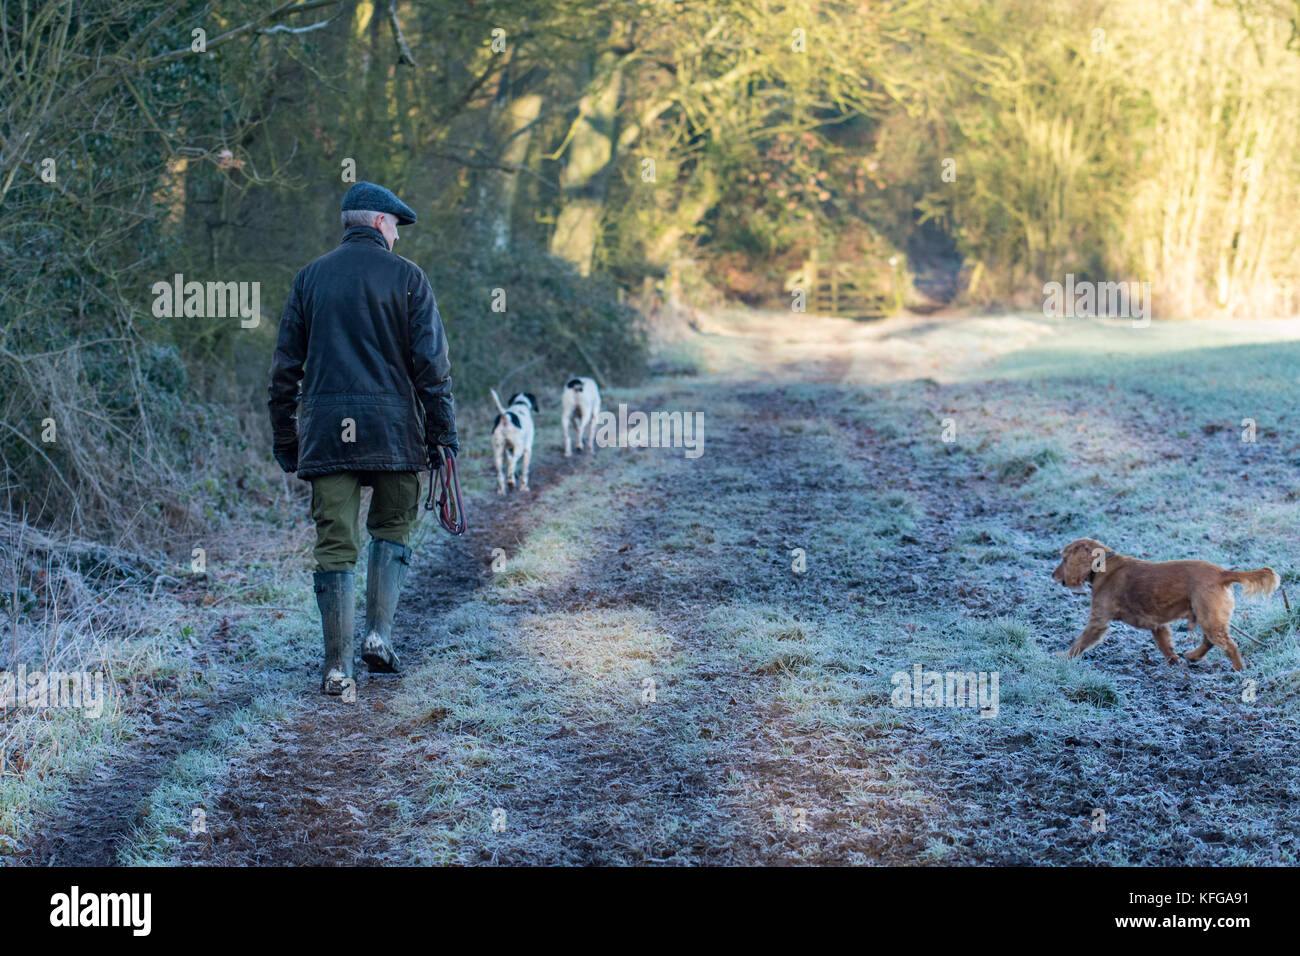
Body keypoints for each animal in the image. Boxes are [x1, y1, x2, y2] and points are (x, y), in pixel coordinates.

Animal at [1050, 538, 1274, 671]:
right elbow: (1165, 645)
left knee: (1230, 646)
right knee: (1210, 641)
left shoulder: (1098, 620)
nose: (1053, 575)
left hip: (1209, 617)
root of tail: (1222, 573)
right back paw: (1193, 656)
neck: (1102, 565)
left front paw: (1062, 657)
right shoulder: (1157, 625)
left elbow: (1080, 642)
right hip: (1207, 616)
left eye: (1064, 559)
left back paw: (1239, 672)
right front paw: (1173, 662)